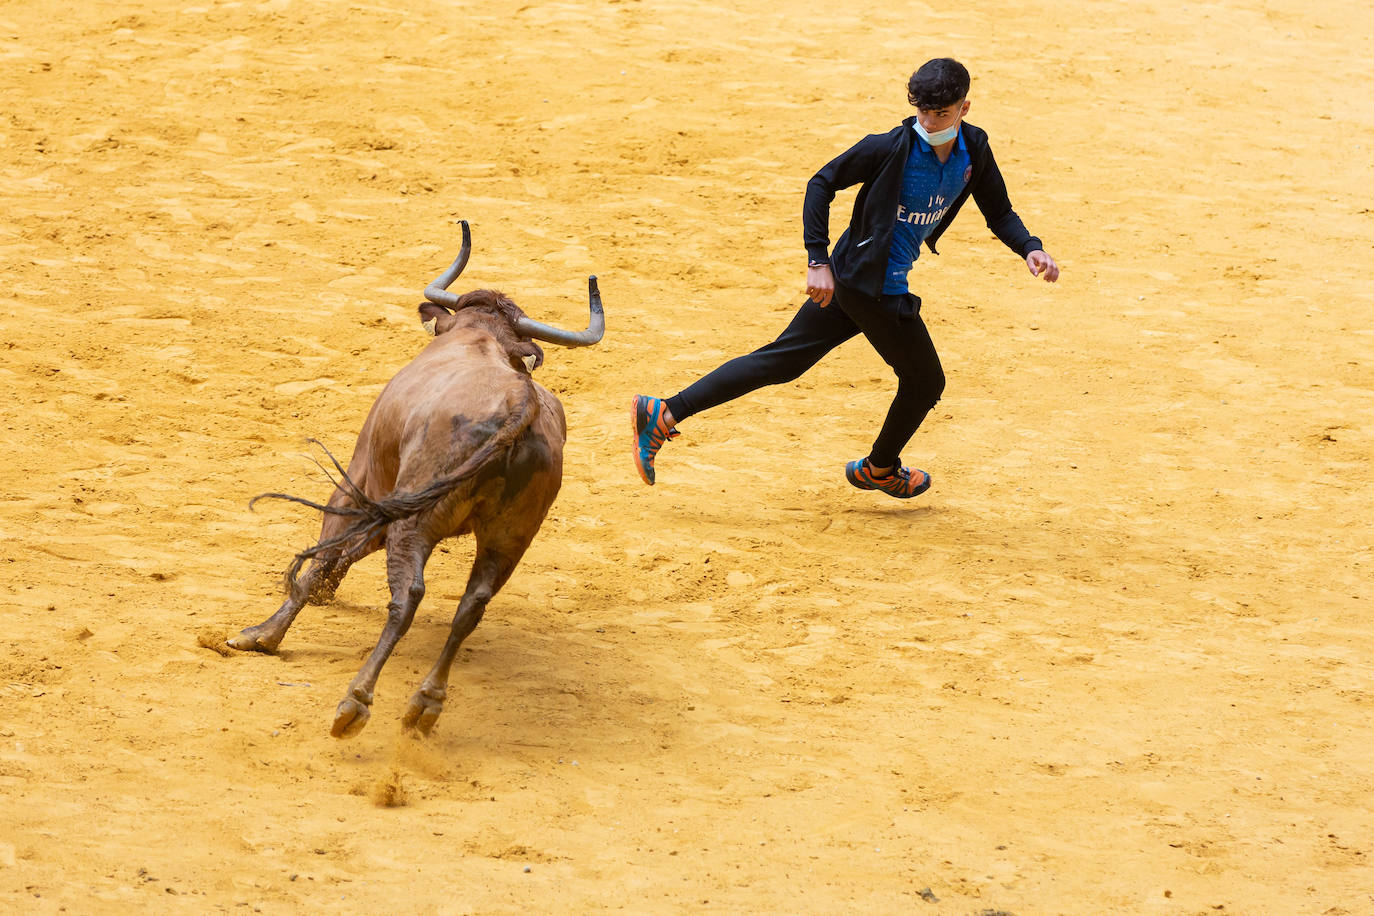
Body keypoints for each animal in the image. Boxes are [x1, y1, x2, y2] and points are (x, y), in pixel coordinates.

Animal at [225, 225, 601, 741]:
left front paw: (261, 634)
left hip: (414, 517)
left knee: (407, 598)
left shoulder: (363, 482)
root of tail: (517, 404)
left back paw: (354, 701)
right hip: (510, 537)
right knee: (471, 607)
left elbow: (324, 555)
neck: (481, 337)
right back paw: (425, 704)